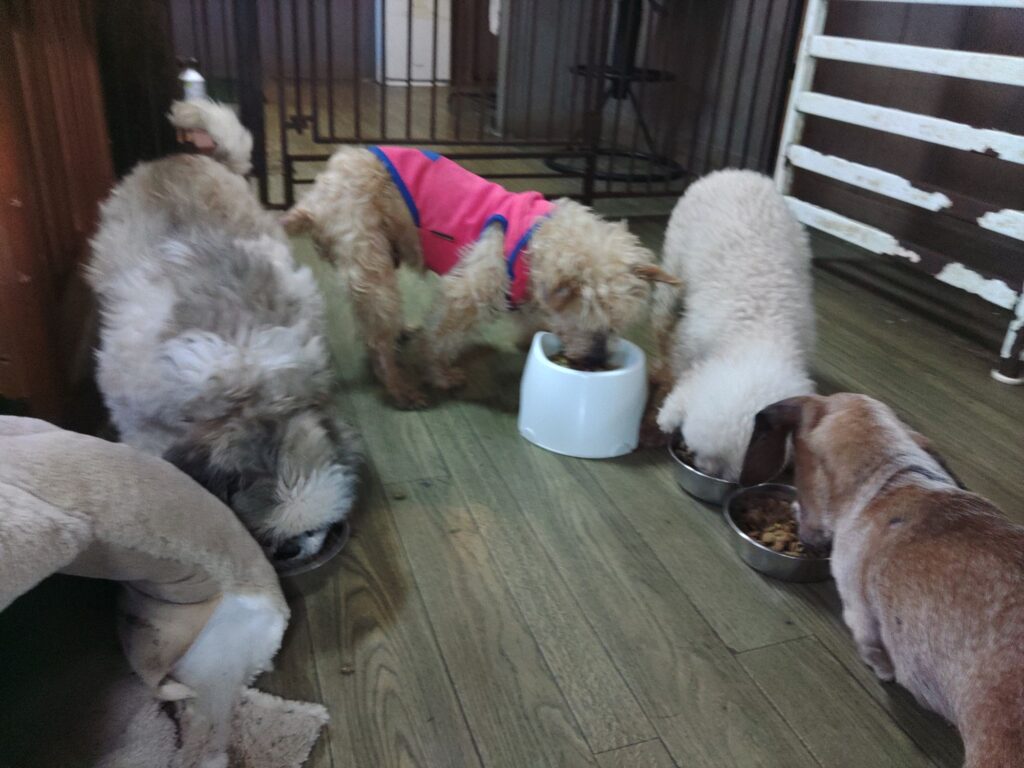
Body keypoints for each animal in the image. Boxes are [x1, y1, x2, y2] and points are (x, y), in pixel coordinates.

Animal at [87, 99, 362, 563]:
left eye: (315, 529)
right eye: (272, 535)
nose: (298, 546)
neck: (244, 392)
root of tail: (188, 156)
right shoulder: (136, 409)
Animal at [281, 146, 679, 408]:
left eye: (615, 324)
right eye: (589, 316)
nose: (595, 361)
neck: (537, 241)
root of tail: (313, 202)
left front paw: (528, 337)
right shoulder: (466, 293)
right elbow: (439, 339)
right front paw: (441, 375)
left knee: (370, 328)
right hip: (370, 260)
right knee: (378, 339)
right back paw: (401, 386)